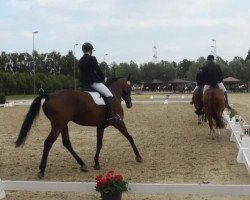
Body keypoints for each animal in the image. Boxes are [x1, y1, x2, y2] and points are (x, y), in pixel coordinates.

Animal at [14, 76, 142, 179]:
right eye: (130, 87)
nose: (130, 104)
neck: (113, 94)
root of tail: (49, 95)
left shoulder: (100, 126)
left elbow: (99, 144)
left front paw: (96, 163)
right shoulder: (118, 123)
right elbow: (130, 137)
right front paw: (138, 156)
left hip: (62, 125)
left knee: (67, 143)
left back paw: (82, 164)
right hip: (58, 125)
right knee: (48, 143)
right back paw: (41, 170)